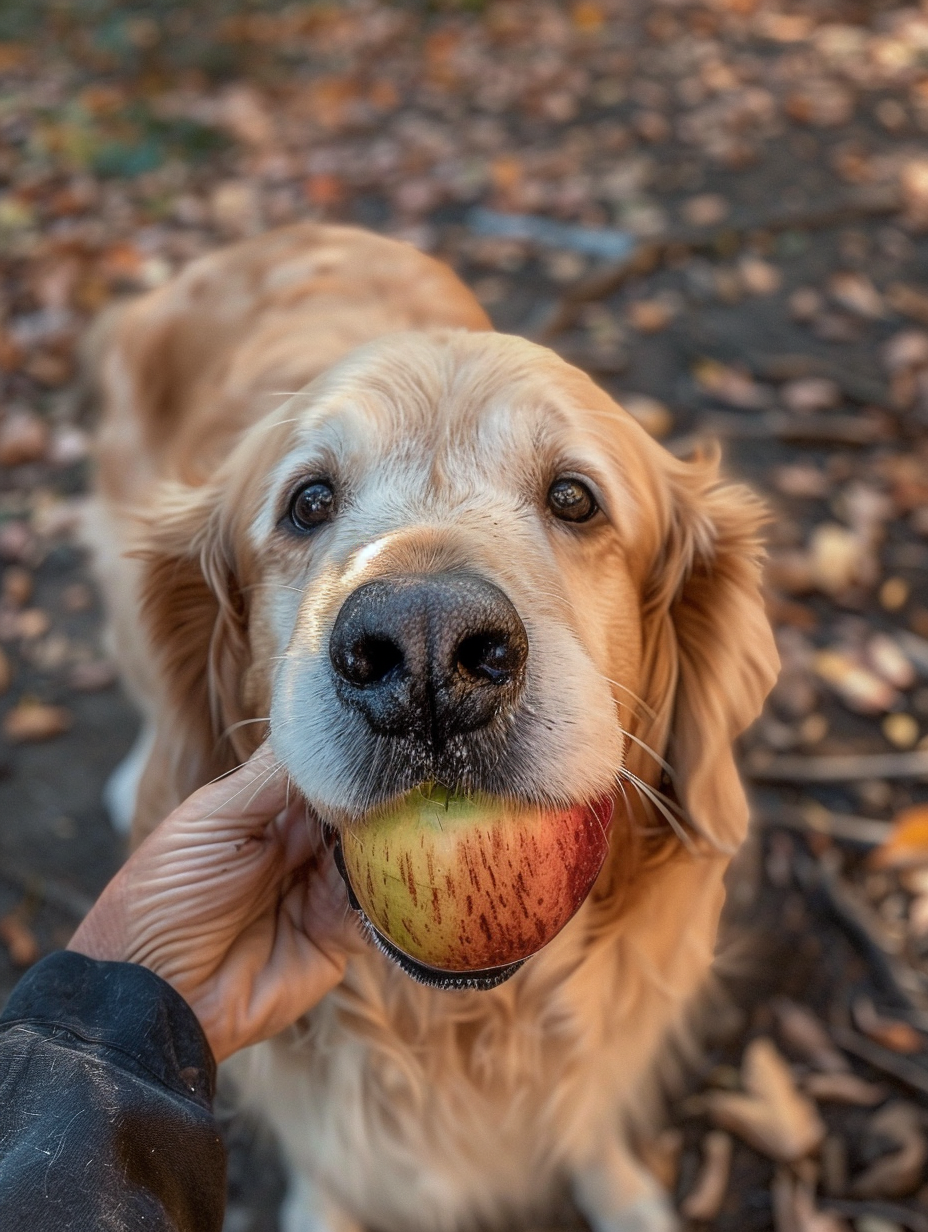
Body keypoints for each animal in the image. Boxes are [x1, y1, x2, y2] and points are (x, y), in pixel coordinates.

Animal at [86, 221, 778, 1232]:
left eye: (575, 498)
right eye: (308, 502)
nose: (424, 649)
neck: (452, 1027)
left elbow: (591, 1127)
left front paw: (624, 1193)